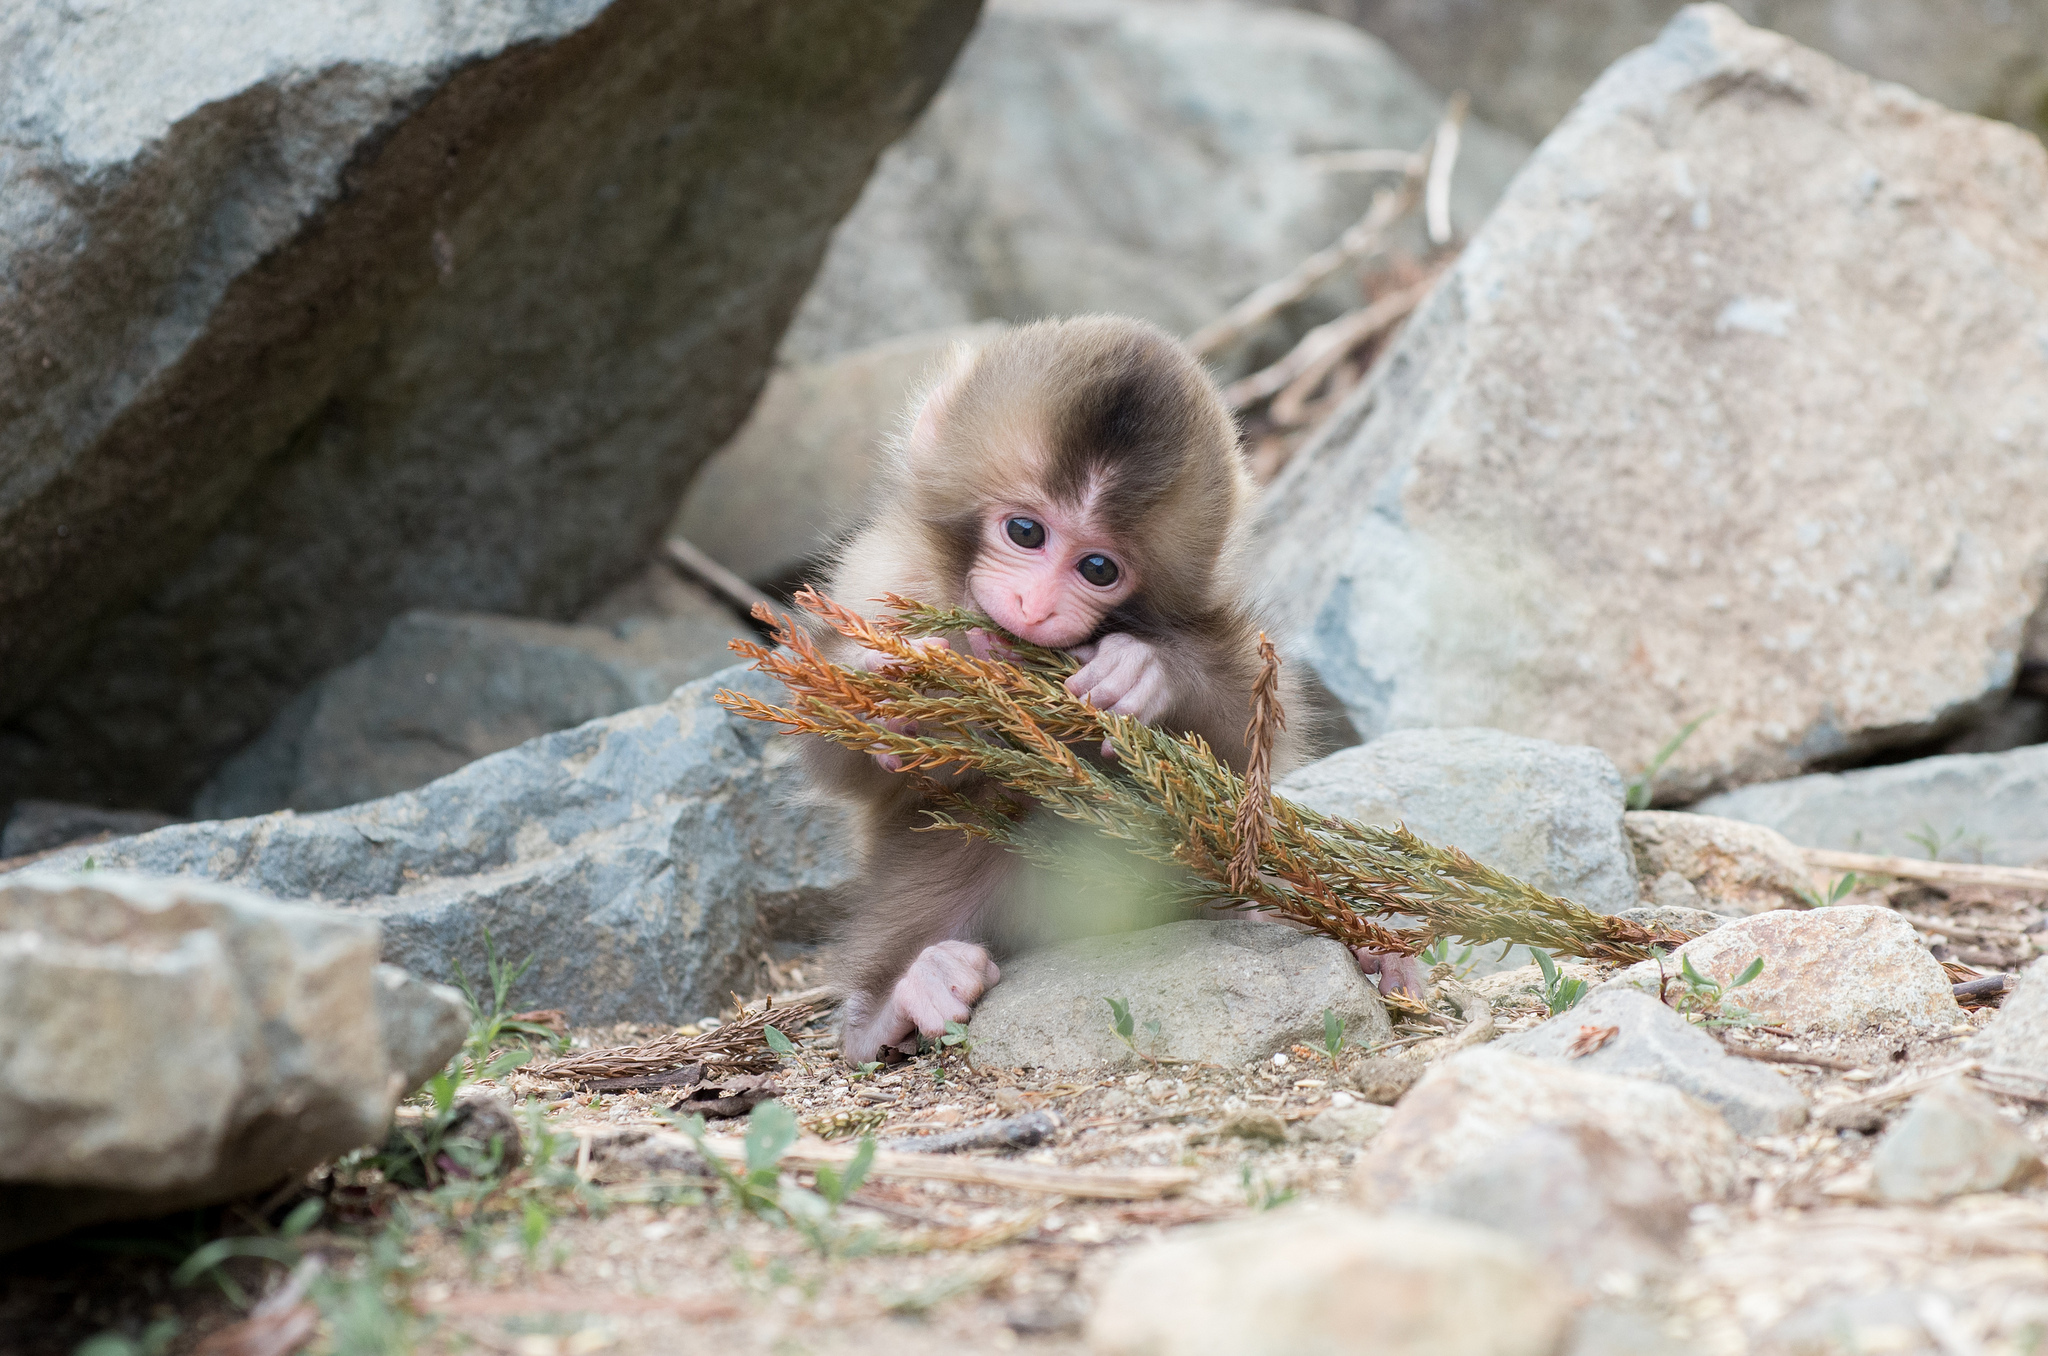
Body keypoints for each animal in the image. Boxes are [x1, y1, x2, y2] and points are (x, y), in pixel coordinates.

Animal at [804, 316, 1425, 1063]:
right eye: (1025, 532)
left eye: (1098, 568)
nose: (1036, 606)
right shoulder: (883, 577)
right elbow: (839, 762)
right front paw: (888, 690)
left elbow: (1247, 742)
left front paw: (1140, 669)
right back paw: (899, 998)